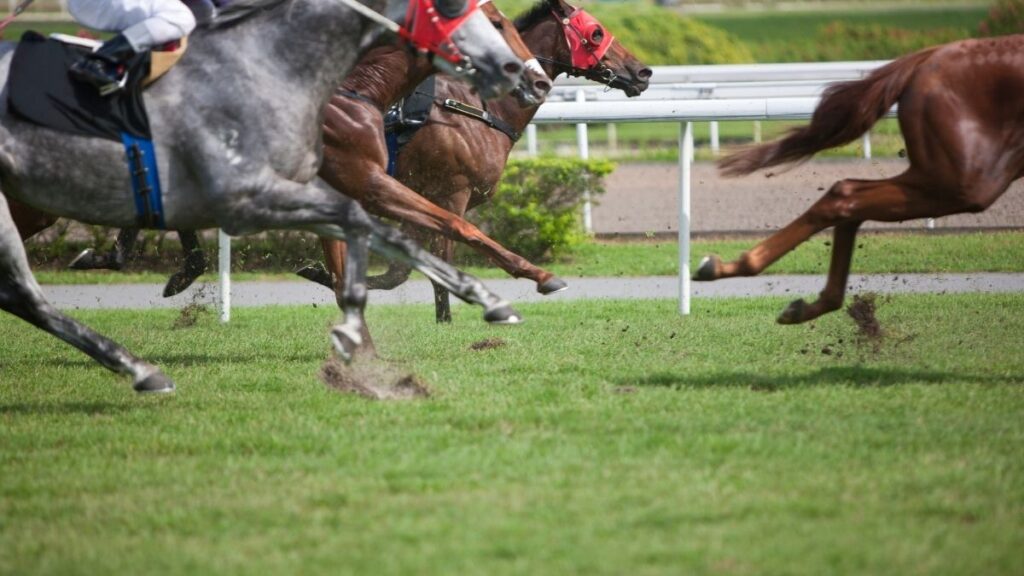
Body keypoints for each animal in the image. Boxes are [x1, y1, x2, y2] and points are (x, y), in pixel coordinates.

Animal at [308, 0, 651, 323]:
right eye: (596, 32)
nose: (642, 72)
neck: (476, 107)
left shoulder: (424, 195)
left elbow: (399, 270)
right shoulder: (450, 192)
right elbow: (439, 259)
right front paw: (445, 320)